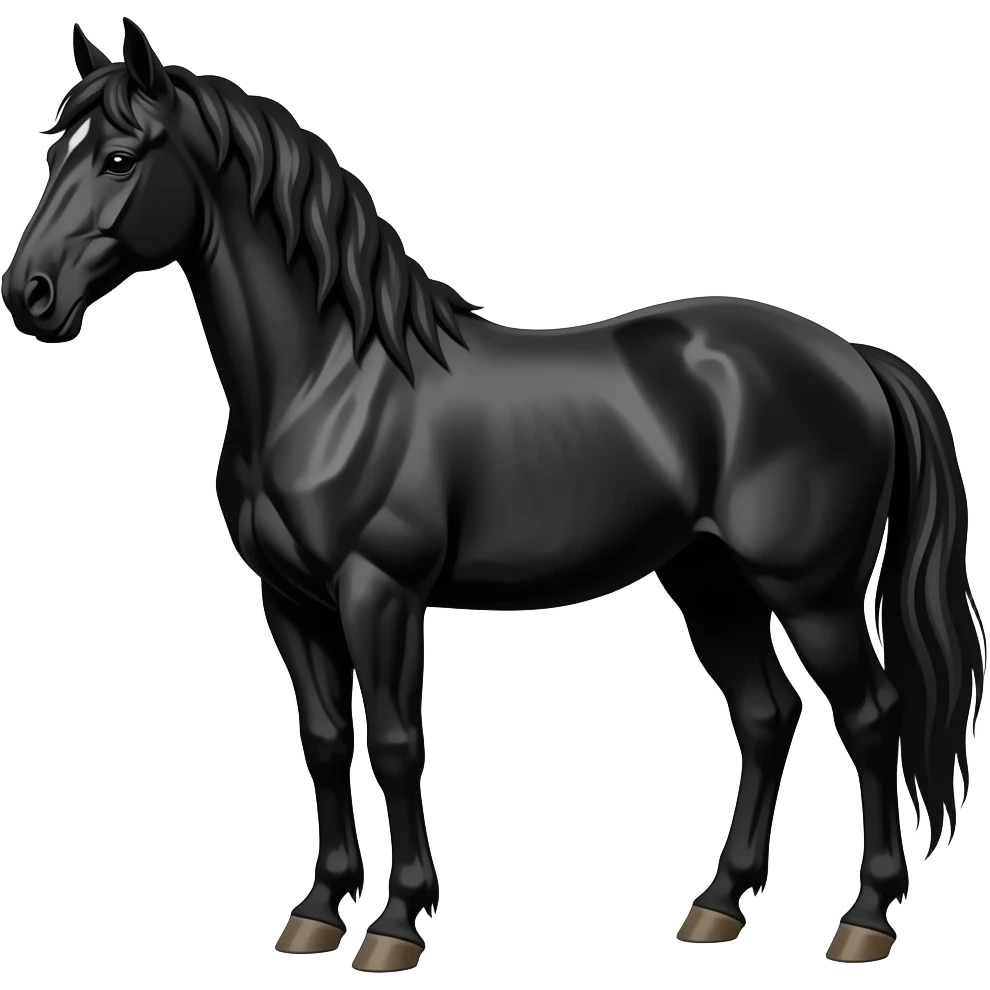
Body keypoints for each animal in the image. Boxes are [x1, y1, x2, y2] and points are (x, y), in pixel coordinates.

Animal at [3, 18, 985, 971]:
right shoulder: (290, 601)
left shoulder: (381, 594)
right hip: (711, 582)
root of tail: (852, 357)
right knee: (767, 715)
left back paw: (864, 921)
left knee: (871, 717)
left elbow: (395, 745)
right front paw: (317, 914)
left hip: (811, 592)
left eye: (120, 157)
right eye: (54, 153)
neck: (329, 380)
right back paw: (717, 905)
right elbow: (323, 742)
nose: (29, 295)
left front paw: (397, 925)